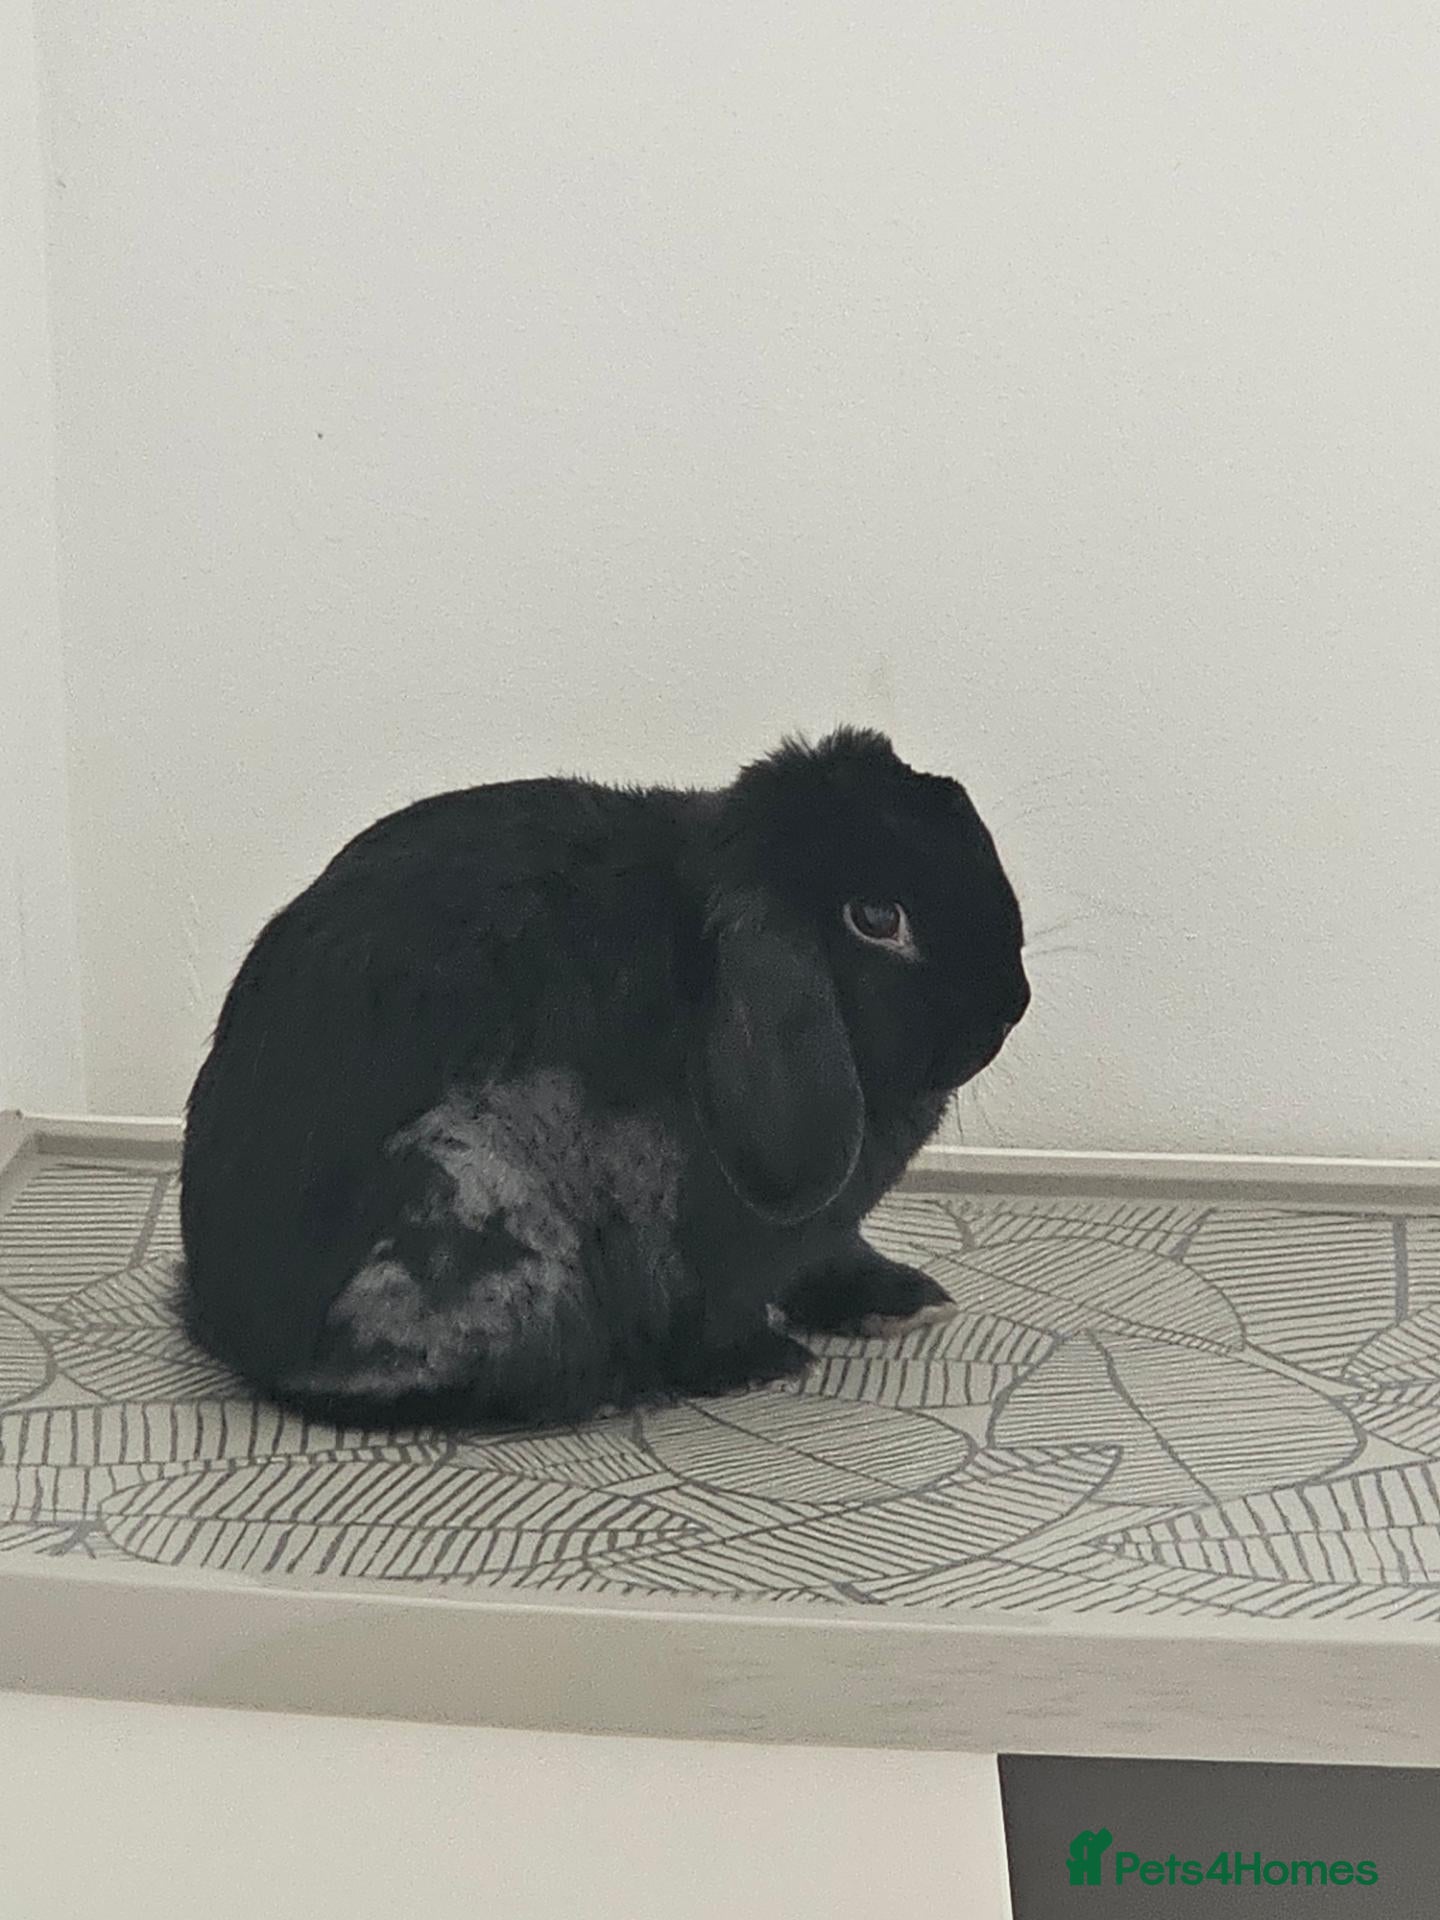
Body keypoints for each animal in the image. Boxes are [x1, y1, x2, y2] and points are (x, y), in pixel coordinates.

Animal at [179, 726, 1030, 1428]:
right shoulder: (702, 1246)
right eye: (877, 919)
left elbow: (835, 1254)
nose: (1010, 1008)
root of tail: (235, 1327)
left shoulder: (825, 1232)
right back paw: (607, 1385)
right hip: (474, 1194)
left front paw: (909, 1305)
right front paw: (762, 1363)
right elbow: (718, 1307)